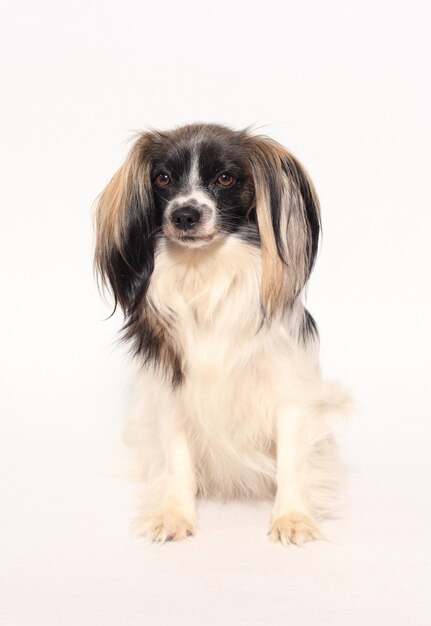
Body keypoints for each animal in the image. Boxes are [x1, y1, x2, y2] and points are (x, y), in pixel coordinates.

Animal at [95, 122, 352, 540]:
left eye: (226, 178)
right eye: (162, 179)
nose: (184, 214)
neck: (203, 270)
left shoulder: (289, 390)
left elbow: (291, 459)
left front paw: (291, 517)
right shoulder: (173, 390)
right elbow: (177, 458)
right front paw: (175, 514)